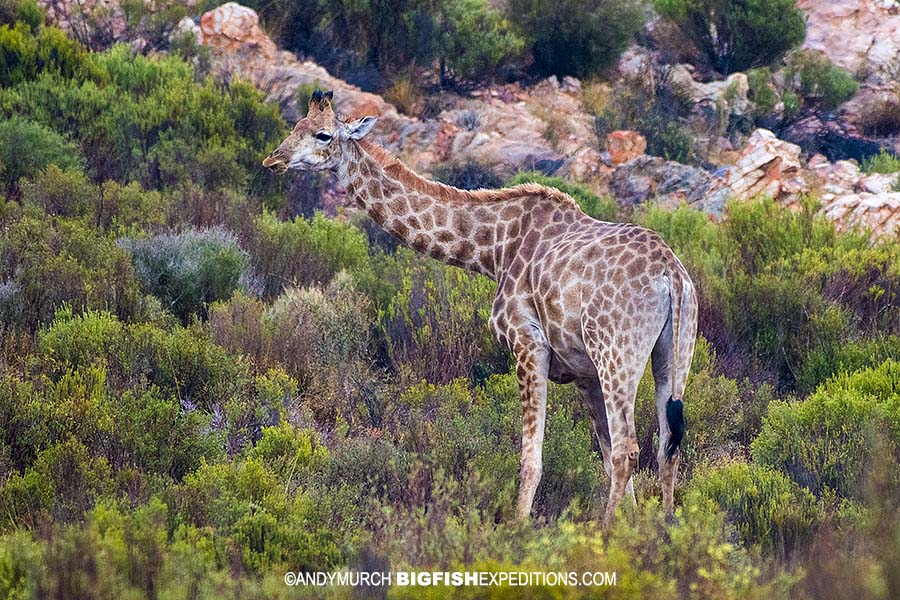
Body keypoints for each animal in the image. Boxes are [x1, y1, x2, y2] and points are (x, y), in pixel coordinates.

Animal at [264, 90, 700, 524]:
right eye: (295, 126)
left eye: (322, 134)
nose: (273, 160)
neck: (494, 250)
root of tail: (671, 275)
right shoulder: (583, 373)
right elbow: (605, 455)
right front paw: (633, 527)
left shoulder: (528, 345)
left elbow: (533, 458)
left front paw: (518, 527)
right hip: (674, 353)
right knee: (666, 445)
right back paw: (666, 525)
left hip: (617, 353)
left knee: (631, 448)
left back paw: (605, 532)